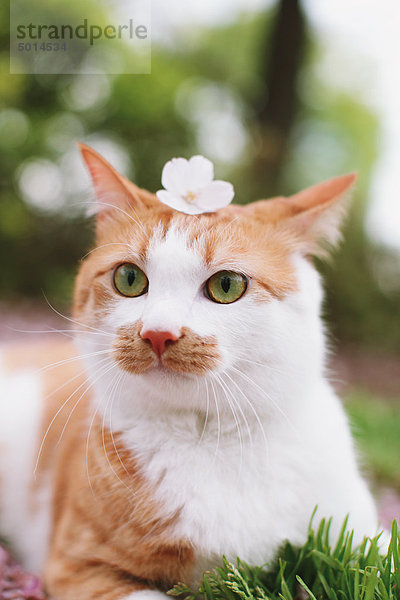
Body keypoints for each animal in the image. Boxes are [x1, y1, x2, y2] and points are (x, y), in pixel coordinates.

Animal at [0, 145, 380, 600]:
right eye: (129, 278)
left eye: (227, 285)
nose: (158, 333)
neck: (212, 437)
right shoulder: (77, 566)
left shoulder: (356, 529)